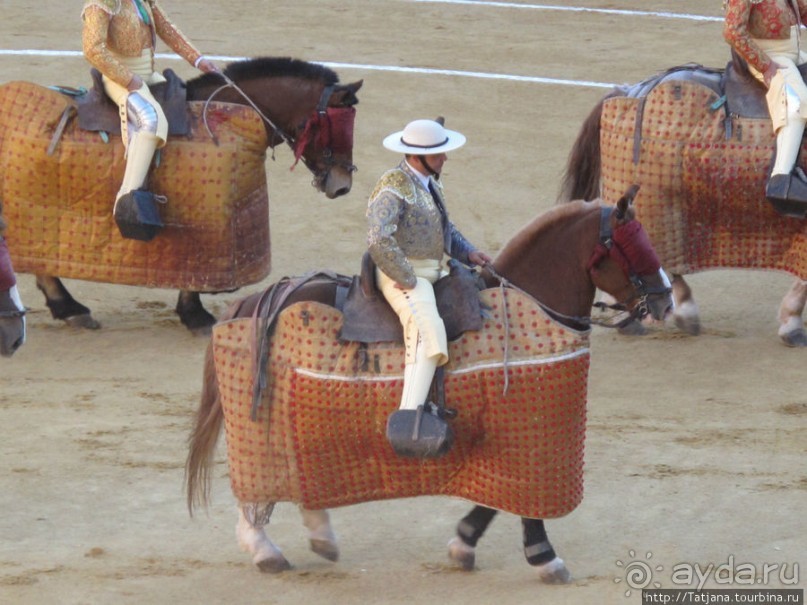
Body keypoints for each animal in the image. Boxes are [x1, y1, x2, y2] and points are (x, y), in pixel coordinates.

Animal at [2, 58, 362, 332]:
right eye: (335, 126)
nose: (343, 184)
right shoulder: (210, 226)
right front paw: (196, 315)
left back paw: (65, 308)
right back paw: (69, 307)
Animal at [186, 185, 672, 580]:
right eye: (631, 245)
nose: (666, 300)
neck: (521, 303)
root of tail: (259, 298)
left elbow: (493, 502)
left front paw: (464, 542)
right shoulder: (521, 436)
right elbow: (520, 501)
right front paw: (544, 555)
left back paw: (319, 536)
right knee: (262, 478)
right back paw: (264, 549)